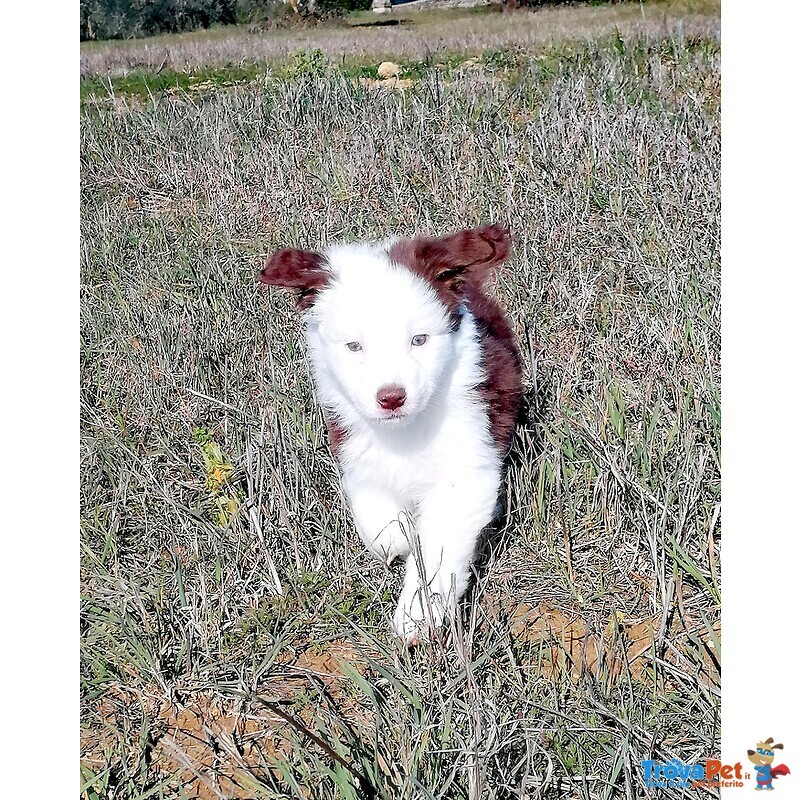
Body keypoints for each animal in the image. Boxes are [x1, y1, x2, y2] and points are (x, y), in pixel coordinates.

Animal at [262, 225, 520, 644]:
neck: (406, 430)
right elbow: (377, 521)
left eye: (419, 340)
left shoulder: (464, 469)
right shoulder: (352, 442)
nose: (391, 398)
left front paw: (416, 617)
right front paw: (397, 537)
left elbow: (437, 551)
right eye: (354, 346)